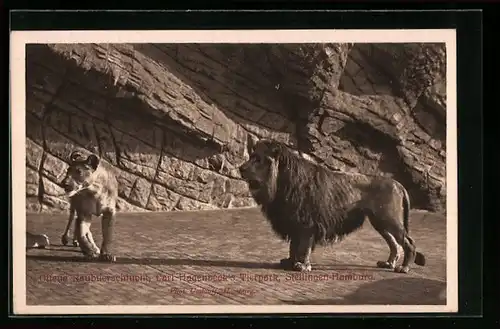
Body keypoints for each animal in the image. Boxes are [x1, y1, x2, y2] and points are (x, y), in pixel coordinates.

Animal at [238, 140, 426, 272]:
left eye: (258, 159)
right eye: (251, 156)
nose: (241, 168)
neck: (281, 181)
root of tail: (398, 184)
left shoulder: (307, 223)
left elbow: (303, 246)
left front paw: (302, 266)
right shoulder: (294, 221)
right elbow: (293, 246)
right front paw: (290, 262)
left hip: (389, 219)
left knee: (408, 243)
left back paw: (404, 268)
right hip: (379, 222)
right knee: (395, 244)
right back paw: (388, 263)